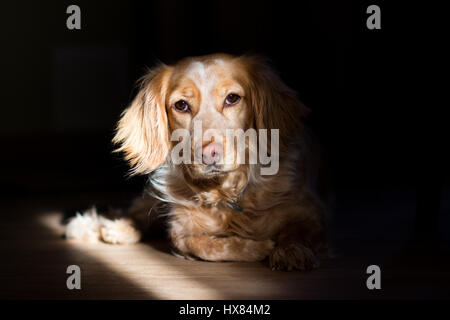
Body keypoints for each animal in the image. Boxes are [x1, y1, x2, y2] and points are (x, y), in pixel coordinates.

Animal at [66, 54, 326, 270]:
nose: (210, 153)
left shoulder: (309, 212)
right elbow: (204, 246)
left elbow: (298, 231)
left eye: (232, 98)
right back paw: (111, 228)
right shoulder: (180, 228)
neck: (224, 195)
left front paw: (291, 251)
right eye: (181, 105)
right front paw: (258, 248)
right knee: (136, 213)